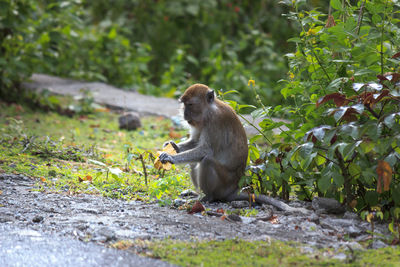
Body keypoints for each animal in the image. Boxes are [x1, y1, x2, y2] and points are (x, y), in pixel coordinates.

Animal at [159, 83, 310, 214]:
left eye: (190, 104)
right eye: (184, 104)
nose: (184, 115)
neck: (209, 109)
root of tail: (233, 189)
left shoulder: (215, 121)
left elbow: (206, 150)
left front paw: (171, 157)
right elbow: (195, 142)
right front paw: (173, 146)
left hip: (222, 183)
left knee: (207, 160)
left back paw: (206, 197)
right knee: (195, 162)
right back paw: (196, 193)